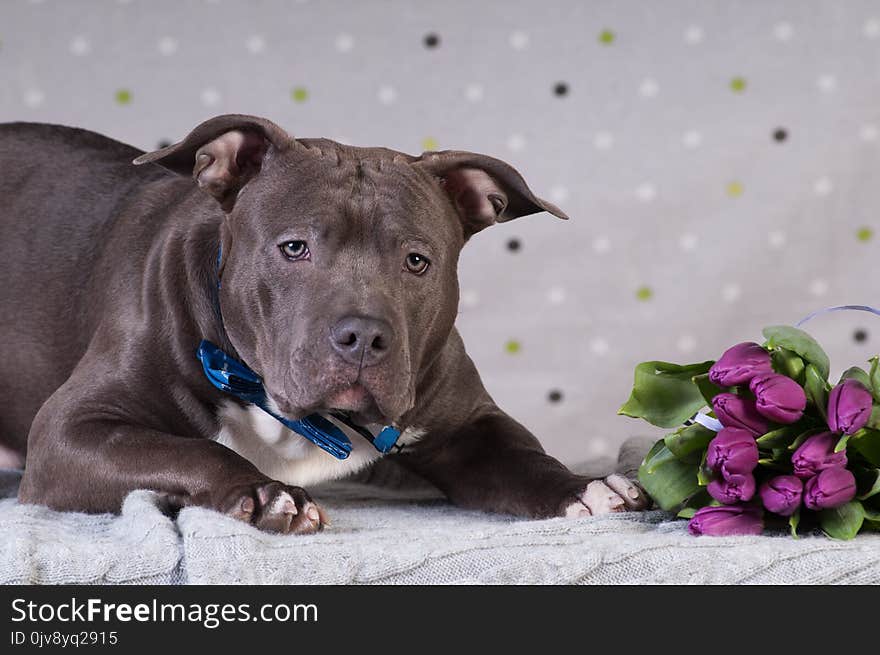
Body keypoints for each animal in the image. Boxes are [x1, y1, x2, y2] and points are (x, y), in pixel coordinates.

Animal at [0, 115, 648, 536]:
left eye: (417, 260)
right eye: (294, 248)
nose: (363, 337)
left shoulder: (469, 426)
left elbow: (522, 455)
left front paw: (584, 486)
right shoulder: (68, 433)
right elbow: (188, 449)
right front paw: (264, 493)